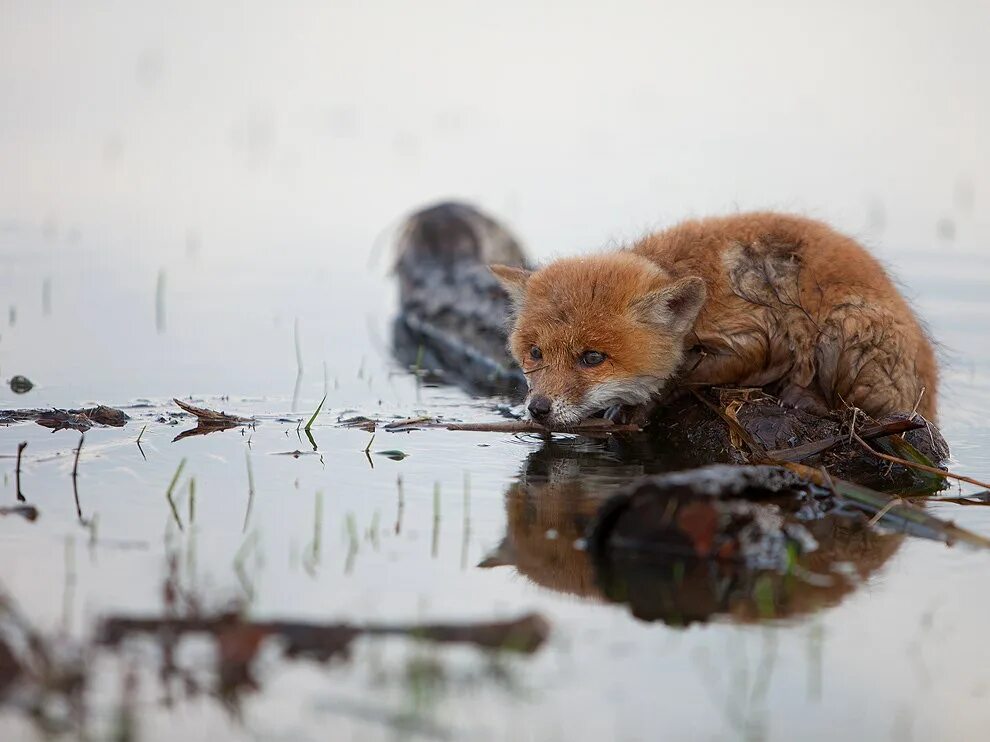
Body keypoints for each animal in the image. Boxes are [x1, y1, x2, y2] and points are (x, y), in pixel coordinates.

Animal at [492, 212, 940, 428]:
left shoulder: (755, 339)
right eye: (535, 353)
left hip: (842, 332)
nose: (538, 409)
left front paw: (644, 404)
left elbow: (683, 378)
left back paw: (805, 398)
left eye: (592, 358)